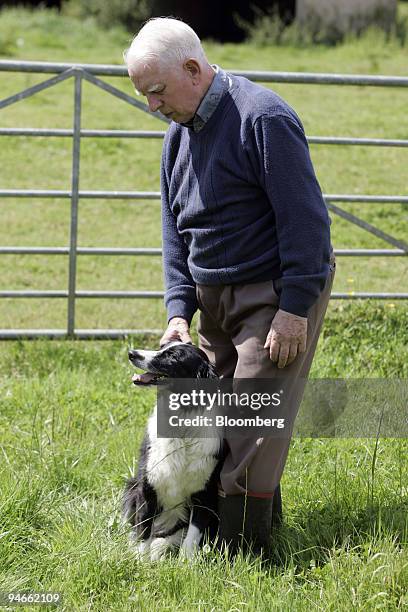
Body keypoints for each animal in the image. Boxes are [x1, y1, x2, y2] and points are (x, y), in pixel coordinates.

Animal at [123, 342, 223, 560]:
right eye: (162, 347)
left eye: (173, 356)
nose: (131, 353)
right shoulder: (147, 486)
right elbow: (144, 527)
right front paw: (140, 560)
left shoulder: (205, 492)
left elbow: (193, 534)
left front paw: (186, 563)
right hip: (132, 485)